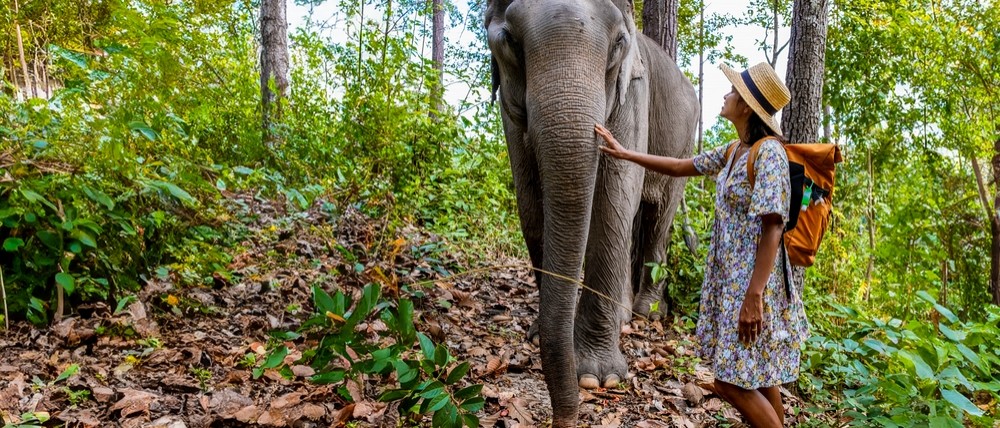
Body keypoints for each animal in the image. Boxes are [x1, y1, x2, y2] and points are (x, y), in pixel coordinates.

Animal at [484, 0, 696, 422]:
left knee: (657, 216)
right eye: (510, 39)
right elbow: (529, 198)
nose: (565, 418)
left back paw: (646, 313)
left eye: (618, 42)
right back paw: (625, 316)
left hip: (683, 144)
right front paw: (541, 334)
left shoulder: (634, 92)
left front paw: (598, 378)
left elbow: (616, 194)